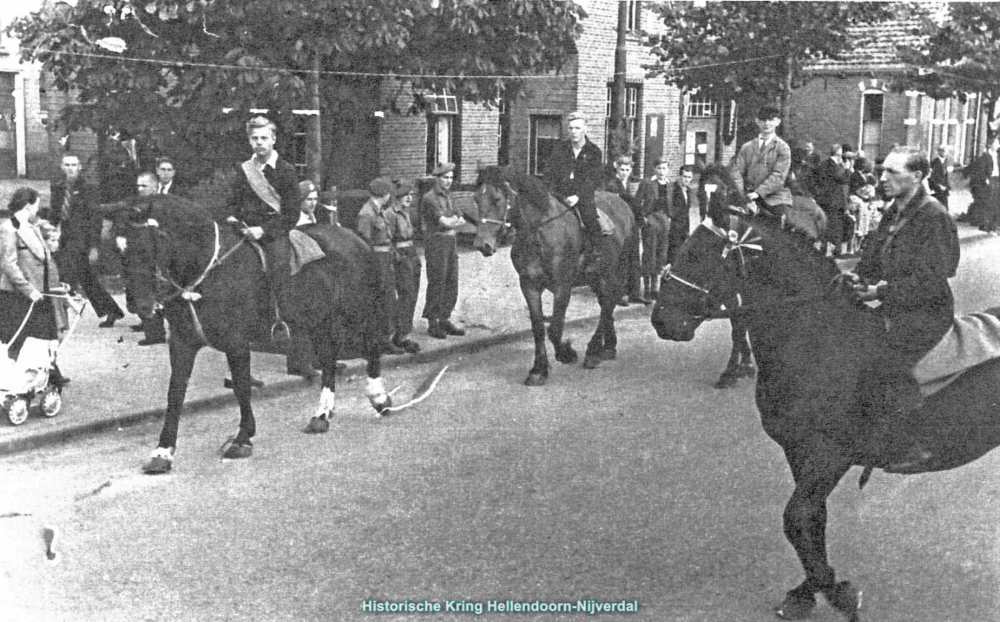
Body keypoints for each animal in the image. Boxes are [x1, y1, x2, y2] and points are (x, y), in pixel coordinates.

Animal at [119, 195, 392, 472]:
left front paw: (242, 439)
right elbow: (175, 394)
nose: (139, 305)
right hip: (320, 319)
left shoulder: (236, 343)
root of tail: (353, 236)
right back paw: (321, 415)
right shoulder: (182, 342)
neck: (204, 274)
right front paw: (162, 452)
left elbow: (241, 387)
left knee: (372, 345)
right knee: (328, 358)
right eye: (120, 247)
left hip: (359, 310)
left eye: (154, 241)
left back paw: (378, 397)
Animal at [470, 166, 628, 386]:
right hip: (596, 277)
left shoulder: (562, 286)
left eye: (497, 199)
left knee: (608, 304)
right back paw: (607, 348)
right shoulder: (529, 285)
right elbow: (538, 328)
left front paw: (566, 354)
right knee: (607, 302)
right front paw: (538, 370)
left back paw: (594, 351)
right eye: (476, 199)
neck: (540, 233)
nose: (482, 245)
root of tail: (621, 202)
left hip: (612, 271)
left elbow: (554, 328)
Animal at [652, 183, 1000, 620]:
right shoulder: (800, 451)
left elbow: (797, 517)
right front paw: (810, 589)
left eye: (699, 254)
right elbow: (810, 520)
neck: (820, 337)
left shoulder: (830, 454)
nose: (661, 320)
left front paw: (835, 590)